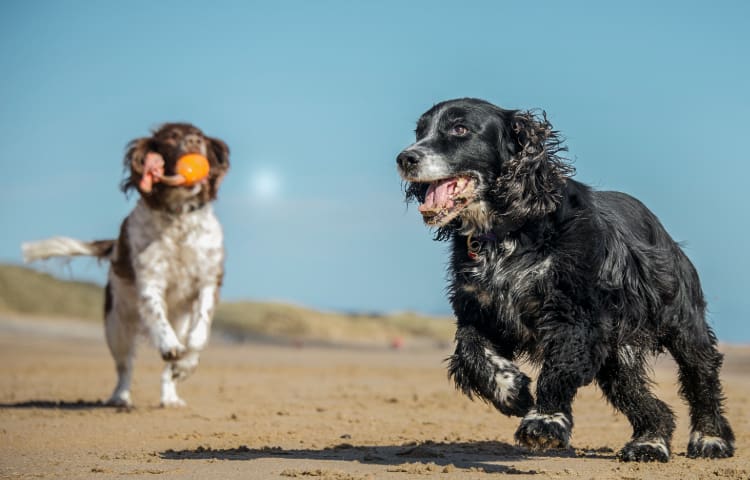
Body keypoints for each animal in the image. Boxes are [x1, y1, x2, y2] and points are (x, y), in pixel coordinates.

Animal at [22, 123, 229, 404]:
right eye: (171, 137)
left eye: (201, 137)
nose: (194, 142)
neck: (177, 215)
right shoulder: (150, 278)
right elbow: (157, 315)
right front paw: (168, 345)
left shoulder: (208, 278)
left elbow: (200, 332)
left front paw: (185, 364)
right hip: (116, 324)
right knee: (124, 366)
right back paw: (120, 397)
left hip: (177, 319)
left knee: (169, 368)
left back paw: (170, 396)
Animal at [396, 97, 736, 462]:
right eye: (419, 131)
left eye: (459, 129)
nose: (405, 158)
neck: (510, 232)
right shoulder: (479, 310)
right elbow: (472, 351)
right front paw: (512, 391)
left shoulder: (575, 316)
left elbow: (559, 369)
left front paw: (545, 422)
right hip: (618, 353)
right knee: (637, 394)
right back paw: (650, 442)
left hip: (681, 321)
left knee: (702, 375)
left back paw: (710, 439)